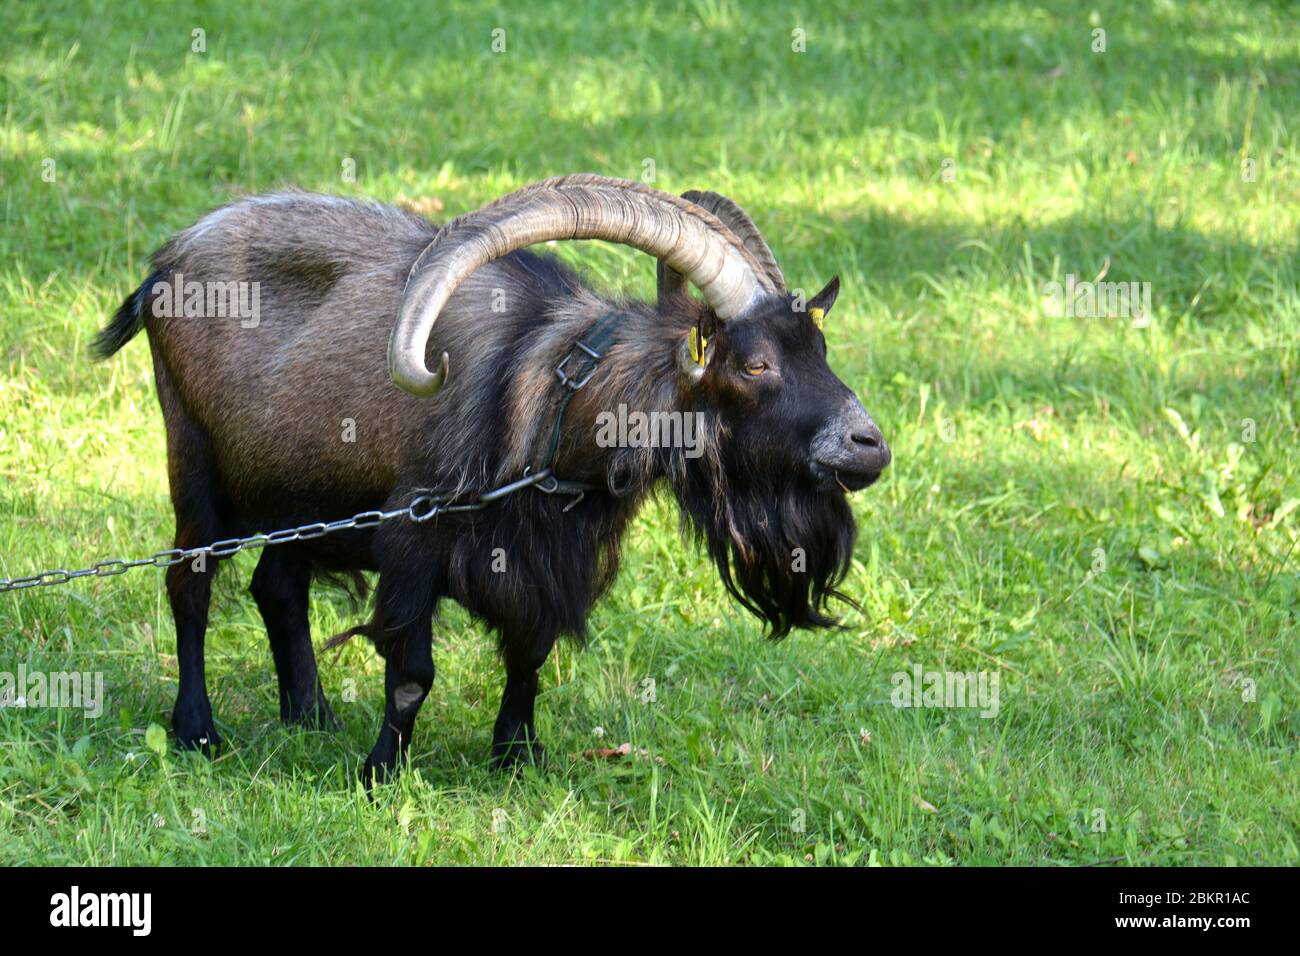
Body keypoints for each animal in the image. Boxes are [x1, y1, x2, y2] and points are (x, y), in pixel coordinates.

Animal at [96, 174, 894, 785]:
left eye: (820, 349)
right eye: (756, 364)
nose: (870, 447)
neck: (554, 406)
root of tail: (164, 265)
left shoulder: (546, 561)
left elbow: (529, 654)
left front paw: (516, 757)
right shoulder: (412, 538)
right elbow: (412, 671)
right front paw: (379, 774)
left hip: (299, 492)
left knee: (277, 587)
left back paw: (310, 715)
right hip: (195, 461)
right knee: (190, 584)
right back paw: (198, 730)